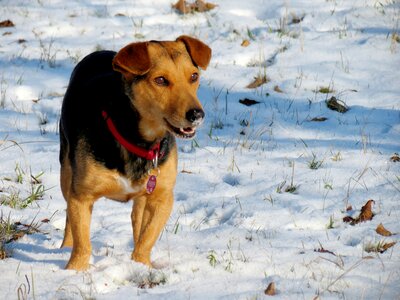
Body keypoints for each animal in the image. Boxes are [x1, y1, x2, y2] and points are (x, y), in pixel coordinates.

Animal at [59, 35, 211, 270]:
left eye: (194, 76)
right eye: (160, 80)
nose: (196, 114)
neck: (139, 141)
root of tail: (101, 52)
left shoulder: (162, 196)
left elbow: (147, 238)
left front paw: (141, 265)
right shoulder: (81, 196)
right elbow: (82, 241)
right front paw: (75, 270)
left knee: (137, 219)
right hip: (66, 170)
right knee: (68, 216)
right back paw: (64, 248)